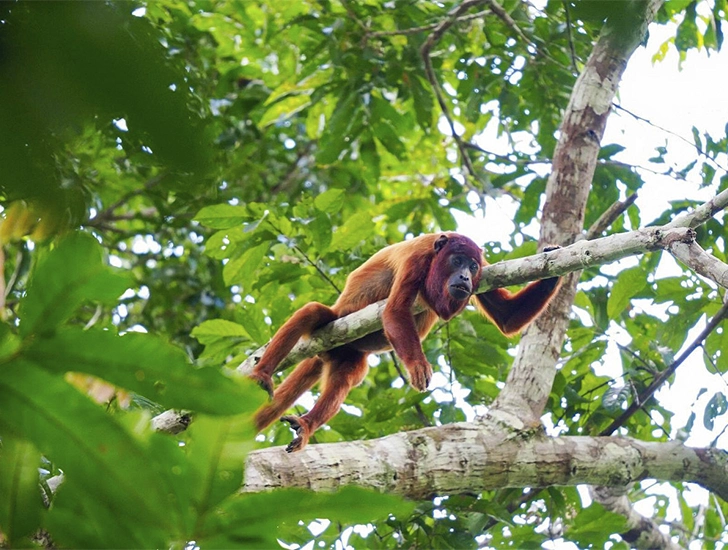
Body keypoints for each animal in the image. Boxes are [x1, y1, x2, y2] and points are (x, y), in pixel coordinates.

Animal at [249, 232, 561, 452]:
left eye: (472, 266)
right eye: (457, 261)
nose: (465, 276)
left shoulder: (486, 271)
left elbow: (508, 317)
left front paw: (553, 262)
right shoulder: (417, 258)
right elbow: (395, 311)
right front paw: (418, 366)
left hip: (348, 355)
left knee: (343, 381)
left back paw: (307, 425)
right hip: (334, 323)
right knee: (312, 312)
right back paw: (263, 374)